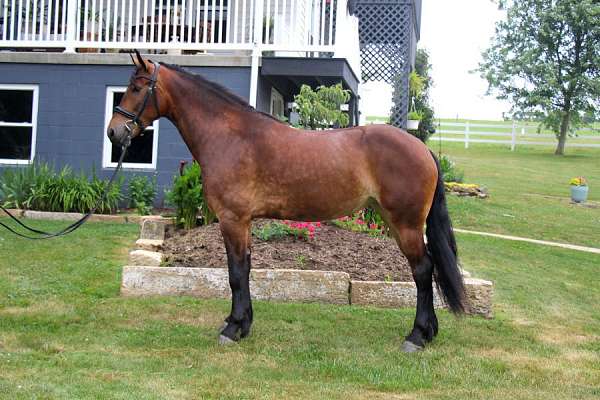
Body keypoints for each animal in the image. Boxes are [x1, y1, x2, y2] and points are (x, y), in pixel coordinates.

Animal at [106, 50, 464, 354]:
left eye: (136, 88)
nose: (114, 133)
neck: (231, 136)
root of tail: (422, 149)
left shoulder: (232, 219)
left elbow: (235, 272)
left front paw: (232, 329)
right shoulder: (243, 222)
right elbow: (245, 269)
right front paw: (241, 323)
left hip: (406, 224)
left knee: (423, 270)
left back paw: (416, 336)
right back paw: (428, 332)